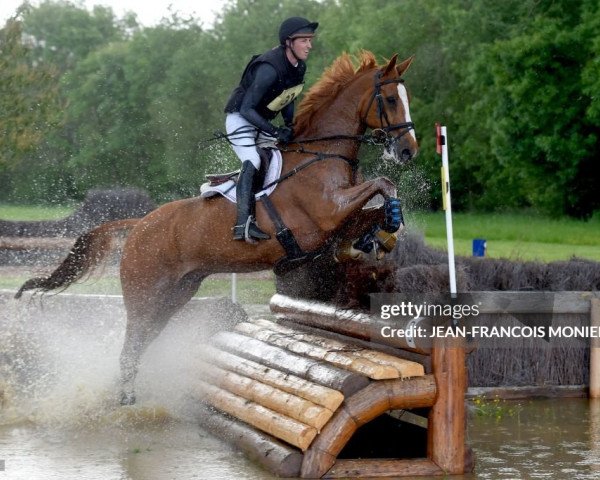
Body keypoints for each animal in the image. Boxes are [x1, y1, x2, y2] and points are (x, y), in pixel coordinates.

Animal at [14, 51, 418, 404]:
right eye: (389, 99)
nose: (408, 151)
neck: (323, 155)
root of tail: (140, 224)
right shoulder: (327, 214)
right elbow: (383, 184)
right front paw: (384, 224)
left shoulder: (338, 220)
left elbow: (374, 207)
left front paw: (381, 234)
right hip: (144, 294)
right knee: (131, 341)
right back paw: (124, 399)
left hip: (177, 294)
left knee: (143, 340)